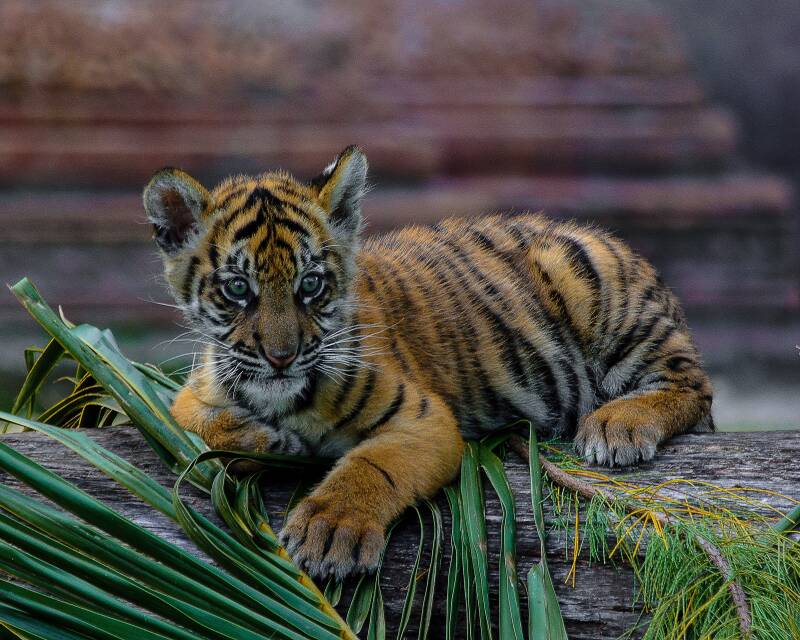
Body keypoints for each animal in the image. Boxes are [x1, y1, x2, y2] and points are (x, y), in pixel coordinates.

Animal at [143, 145, 714, 579]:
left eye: (311, 284)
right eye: (238, 289)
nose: (280, 357)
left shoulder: (422, 418)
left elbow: (371, 468)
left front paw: (329, 531)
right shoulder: (197, 385)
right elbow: (188, 419)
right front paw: (265, 440)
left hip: (593, 290)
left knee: (694, 385)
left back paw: (616, 426)